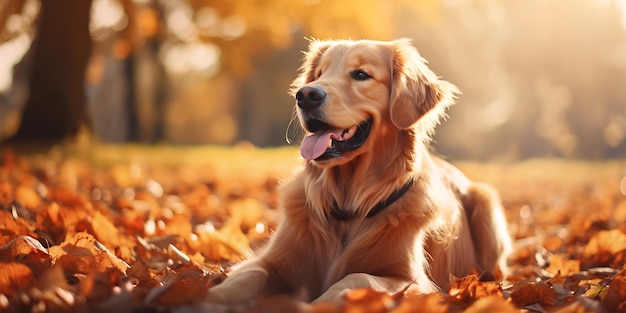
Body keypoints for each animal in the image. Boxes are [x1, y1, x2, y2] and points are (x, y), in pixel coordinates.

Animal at [207, 37, 510, 304]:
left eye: (361, 74)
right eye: (319, 74)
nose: (306, 95)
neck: (348, 207)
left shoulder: (411, 281)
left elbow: (356, 277)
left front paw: (317, 304)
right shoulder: (272, 262)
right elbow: (248, 275)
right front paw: (210, 298)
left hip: (486, 203)